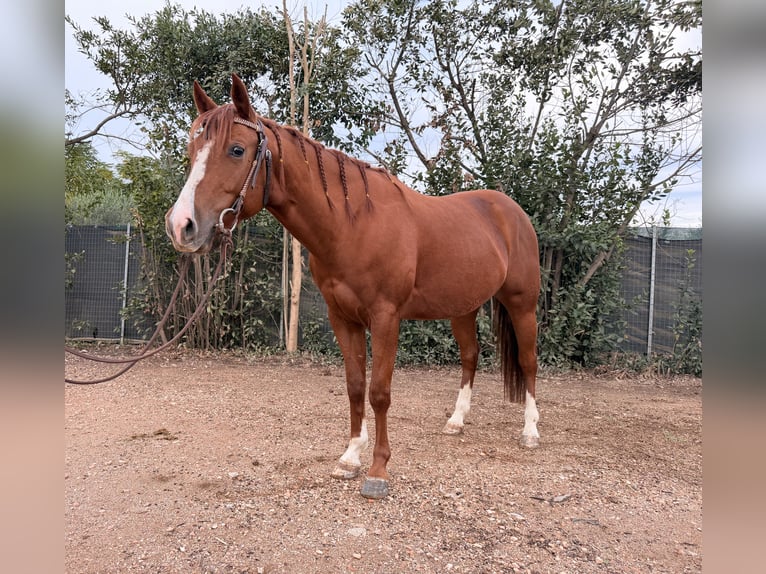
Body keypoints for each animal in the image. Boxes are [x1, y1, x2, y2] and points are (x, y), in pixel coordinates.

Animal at [165, 74, 541, 499]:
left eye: (236, 149)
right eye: (192, 149)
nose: (181, 226)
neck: (353, 224)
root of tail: (511, 211)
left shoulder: (386, 318)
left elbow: (379, 391)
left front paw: (378, 470)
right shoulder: (343, 318)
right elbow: (355, 386)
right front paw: (349, 457)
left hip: (522, 304)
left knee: (528, 361)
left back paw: (530, 431)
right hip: (463, 308)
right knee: (470, 356)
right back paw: (456, 422)